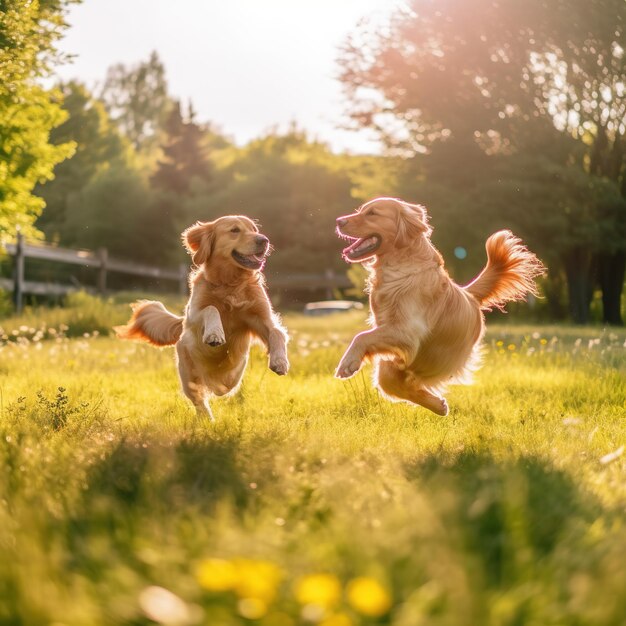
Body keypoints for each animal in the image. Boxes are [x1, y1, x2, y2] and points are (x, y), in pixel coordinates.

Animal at [113, 216, 286, 420]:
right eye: (235, 230)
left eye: (254, 229)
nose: (264, 240)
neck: (230, 284)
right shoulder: (193, 314)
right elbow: (211, 309)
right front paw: (215, 334)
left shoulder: (261, 317)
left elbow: (277, 333)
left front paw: (280, 361)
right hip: (187, 373)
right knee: (199, 399)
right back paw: (207, 420)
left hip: (231, 374)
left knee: (226, 384)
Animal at [334, 197, 544, 414]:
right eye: (361, 210)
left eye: (372, 213)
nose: (339, 221)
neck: (400, 266)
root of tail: (469, 294)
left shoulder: (407, 332)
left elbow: (362, 336)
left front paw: (347, 362)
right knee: (391, 382)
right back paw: (438, 405)